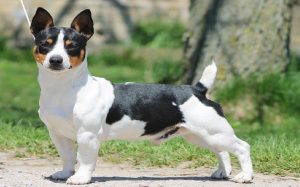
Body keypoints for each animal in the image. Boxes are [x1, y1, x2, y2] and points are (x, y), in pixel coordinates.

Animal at [29, 6, 253, 184]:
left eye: (72, 46)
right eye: (45, 43)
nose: (56, 60)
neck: (65, 88)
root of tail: (197, 89)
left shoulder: (87, 135)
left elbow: (84, 159)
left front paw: (80, 178)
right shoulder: (57, 134)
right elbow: (67, 156)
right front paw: (65, 173)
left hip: (215, 132)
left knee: (242, 147)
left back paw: (245, 176)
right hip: (200, 135)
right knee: (221, 150)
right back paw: (222, 172)